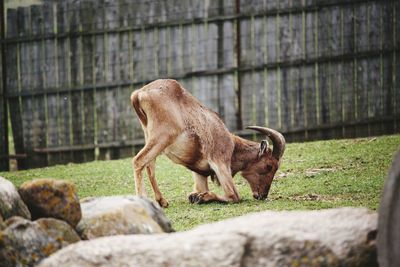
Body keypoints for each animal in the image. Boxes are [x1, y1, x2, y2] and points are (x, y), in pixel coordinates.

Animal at [130, 78, 284, 208]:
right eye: (269, 166)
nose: (262, 195)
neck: (233, 145)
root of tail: (139, 94)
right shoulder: (220, 163)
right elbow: (233, 196)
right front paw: (202, 197)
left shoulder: (199, 174)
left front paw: (195, 196)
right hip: (162, 137)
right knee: (139, 161)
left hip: (150, 137)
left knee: (149, 166)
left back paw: (162, 201)